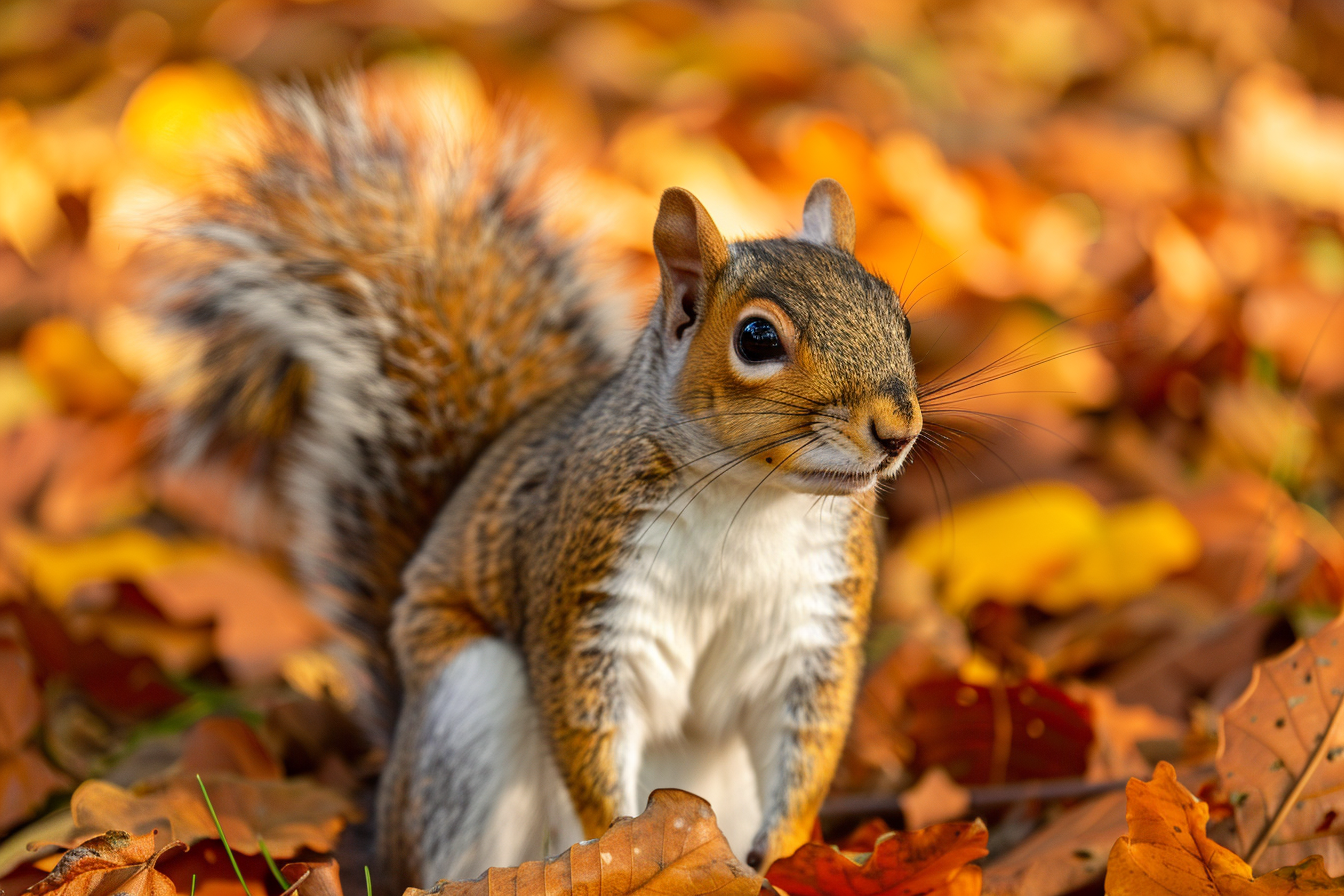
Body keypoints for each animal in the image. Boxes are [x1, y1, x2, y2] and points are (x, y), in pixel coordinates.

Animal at [146, 74, 922, 891]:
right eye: (758, 338)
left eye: (900, 320)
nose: (896, 429)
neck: (750, 502)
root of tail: (385, 815)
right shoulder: (585, 597)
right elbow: (588, 736)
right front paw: (626, 844)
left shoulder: (813, 624)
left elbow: (806, 742)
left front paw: (790, 855)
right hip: (470, 708)